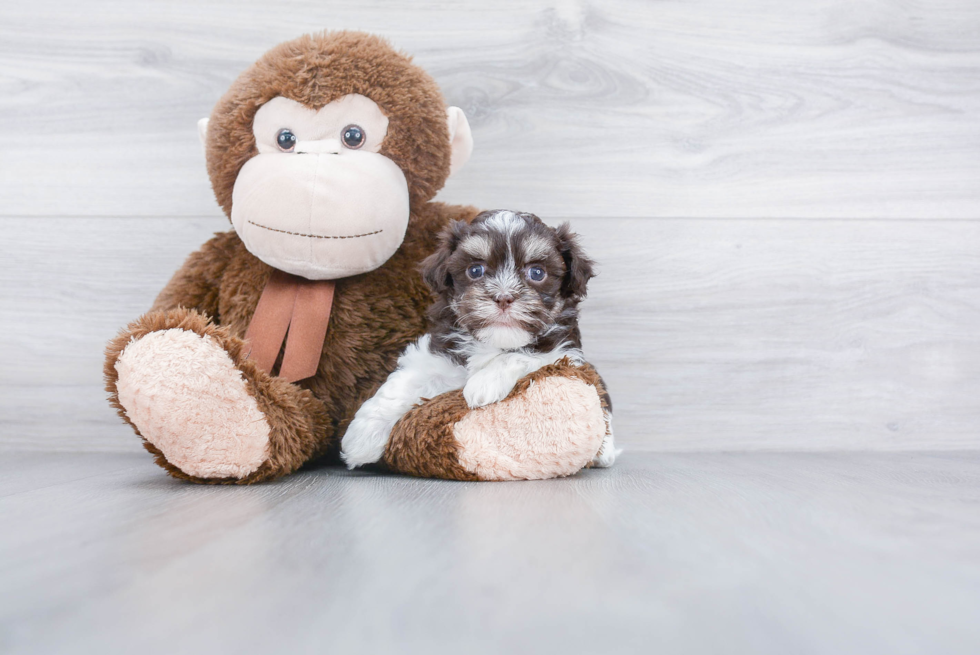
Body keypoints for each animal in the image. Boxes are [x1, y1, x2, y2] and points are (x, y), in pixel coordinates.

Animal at [340, 210, 616, 472]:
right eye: (475, 270)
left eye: (537, 273)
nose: (503, 297)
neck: (493, 341)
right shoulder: (439, 357)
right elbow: (405, 383)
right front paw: (361, 436)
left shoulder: (565, 352)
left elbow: (525, 353)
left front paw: (484, 383)